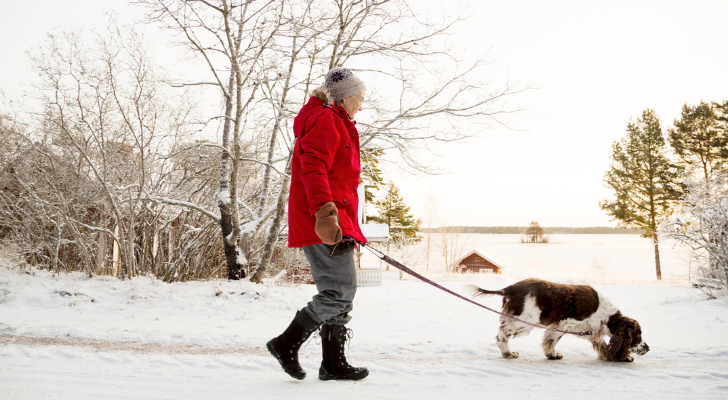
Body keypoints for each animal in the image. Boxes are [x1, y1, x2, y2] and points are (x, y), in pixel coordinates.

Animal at [470, 280, 652, 360]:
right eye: (638, 334)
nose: (648, 348)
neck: (608, 317)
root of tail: (511, 288)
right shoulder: (564, 324)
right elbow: (552, 340)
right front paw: (552, 355)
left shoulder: (590, 330)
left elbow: (602, 345)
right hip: (524, 320)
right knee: (502, 334)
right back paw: (507, 352)